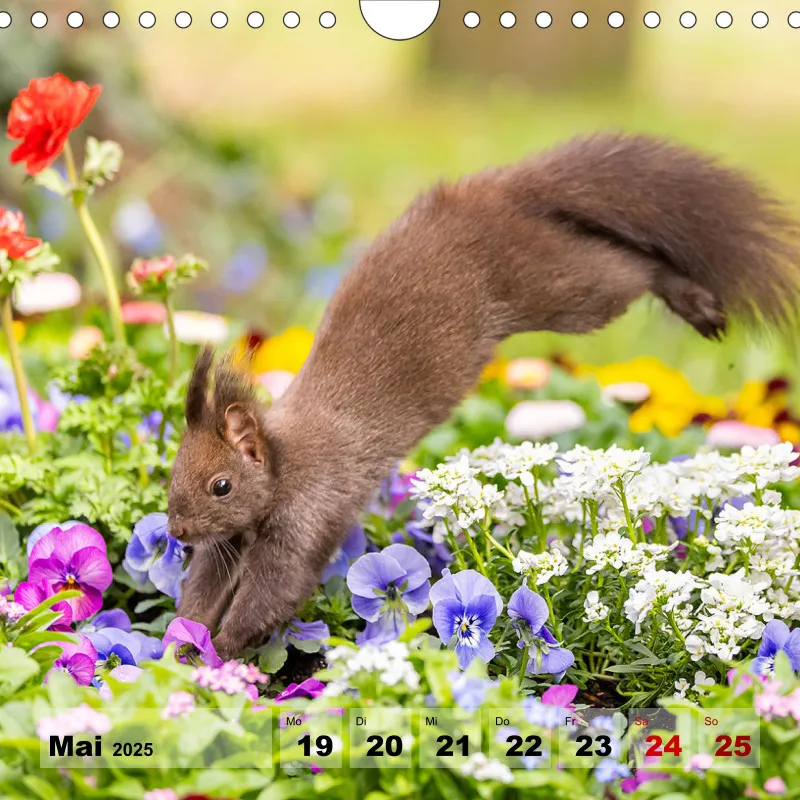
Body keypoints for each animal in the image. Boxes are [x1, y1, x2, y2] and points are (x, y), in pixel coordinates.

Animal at [167, 133, 800, 659]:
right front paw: (181, 640)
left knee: (627, 267)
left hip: (558, 286)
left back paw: (691, 300)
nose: (176, 533)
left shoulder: (309, 508)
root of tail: (497, 192)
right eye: (173, 475)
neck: (280, 458)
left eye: (221, 486)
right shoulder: (229, 541)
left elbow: (275, 590)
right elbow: (206, 586)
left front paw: (222, 649)